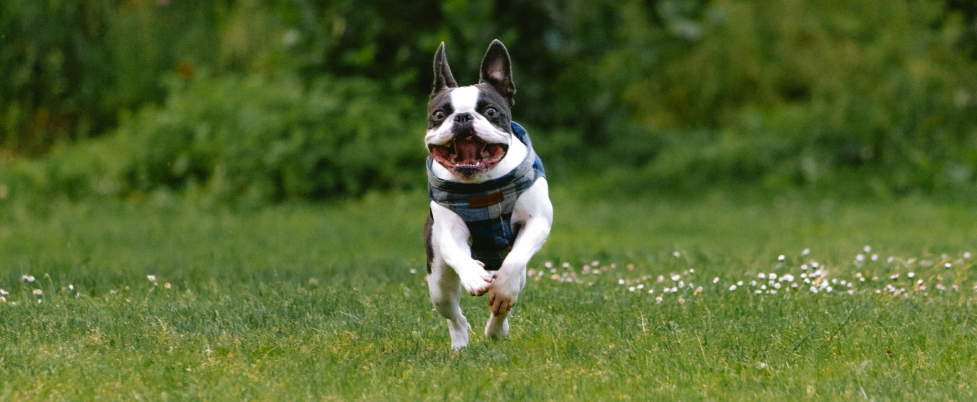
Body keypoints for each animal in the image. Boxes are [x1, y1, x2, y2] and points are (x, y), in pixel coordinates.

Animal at [424, 39, 552, 350]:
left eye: (491, 112)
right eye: (439, 115)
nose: (463, 117)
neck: (481, 186)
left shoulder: (537, 221)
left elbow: (514, 264)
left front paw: (501, 292)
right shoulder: (447, 230)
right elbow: (459, 253)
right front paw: (473, 276)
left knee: (504, 300)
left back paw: (496, 328)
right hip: (438, 282)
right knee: (453, 314)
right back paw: (460, 344)